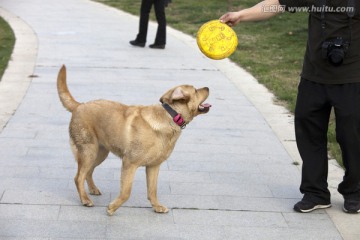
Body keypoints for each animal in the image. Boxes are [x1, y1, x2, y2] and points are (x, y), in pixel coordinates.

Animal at [56, 65, 211, 216]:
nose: (208, 87)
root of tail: (79, 105)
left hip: (100, 153)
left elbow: (152, 190)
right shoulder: (129, 163)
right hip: (88, 151)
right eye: (195, 90)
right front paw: (112, 208)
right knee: (78, 177)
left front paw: (157, 207)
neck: (171, 115)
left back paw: (92, 190)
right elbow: (126, 192)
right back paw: (85, 199)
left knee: (88, 172)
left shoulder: (153, 166)